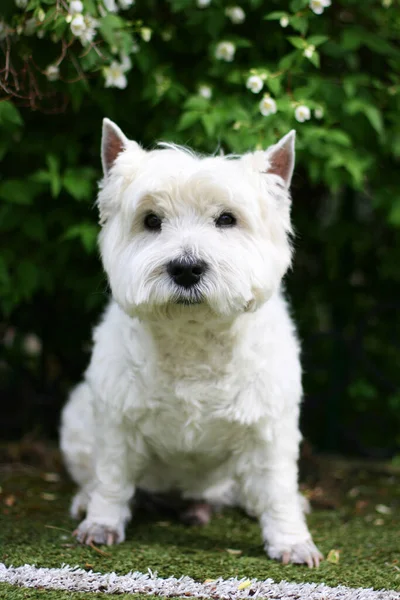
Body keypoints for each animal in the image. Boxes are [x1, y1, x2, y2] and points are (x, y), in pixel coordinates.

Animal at [58, 120, 322, 568]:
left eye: (227, 219)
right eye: (151, 220)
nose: (186, 268)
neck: (193, 335)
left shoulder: (269, 427)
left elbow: (276, 488)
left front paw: (292, 541)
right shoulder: (117, 419)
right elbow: (111, 476)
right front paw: (101, 523)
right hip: (78, 417)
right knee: (94, 475)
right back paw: (84, 501)